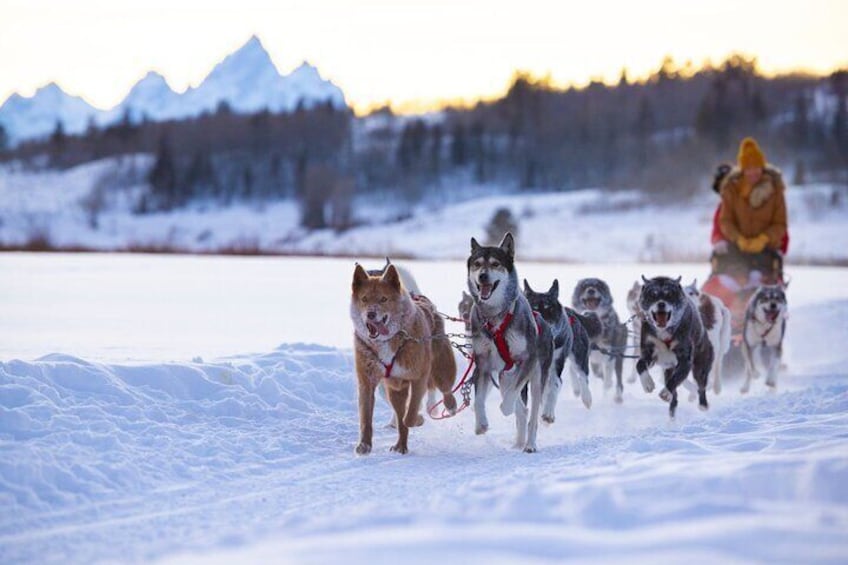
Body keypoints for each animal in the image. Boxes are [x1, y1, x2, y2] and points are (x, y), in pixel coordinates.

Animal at [352, 262, 458, 454]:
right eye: (364, 299)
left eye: (383, 299)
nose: (370, 314)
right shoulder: (367, 382)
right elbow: (366, 418)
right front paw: (364, 444)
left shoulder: (418, 378)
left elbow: (410, 415)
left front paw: (418, 419)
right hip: (395, 389)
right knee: (400, 416)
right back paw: (400, 444)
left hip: (442, 368)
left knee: (445, 389)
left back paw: (449, 406)